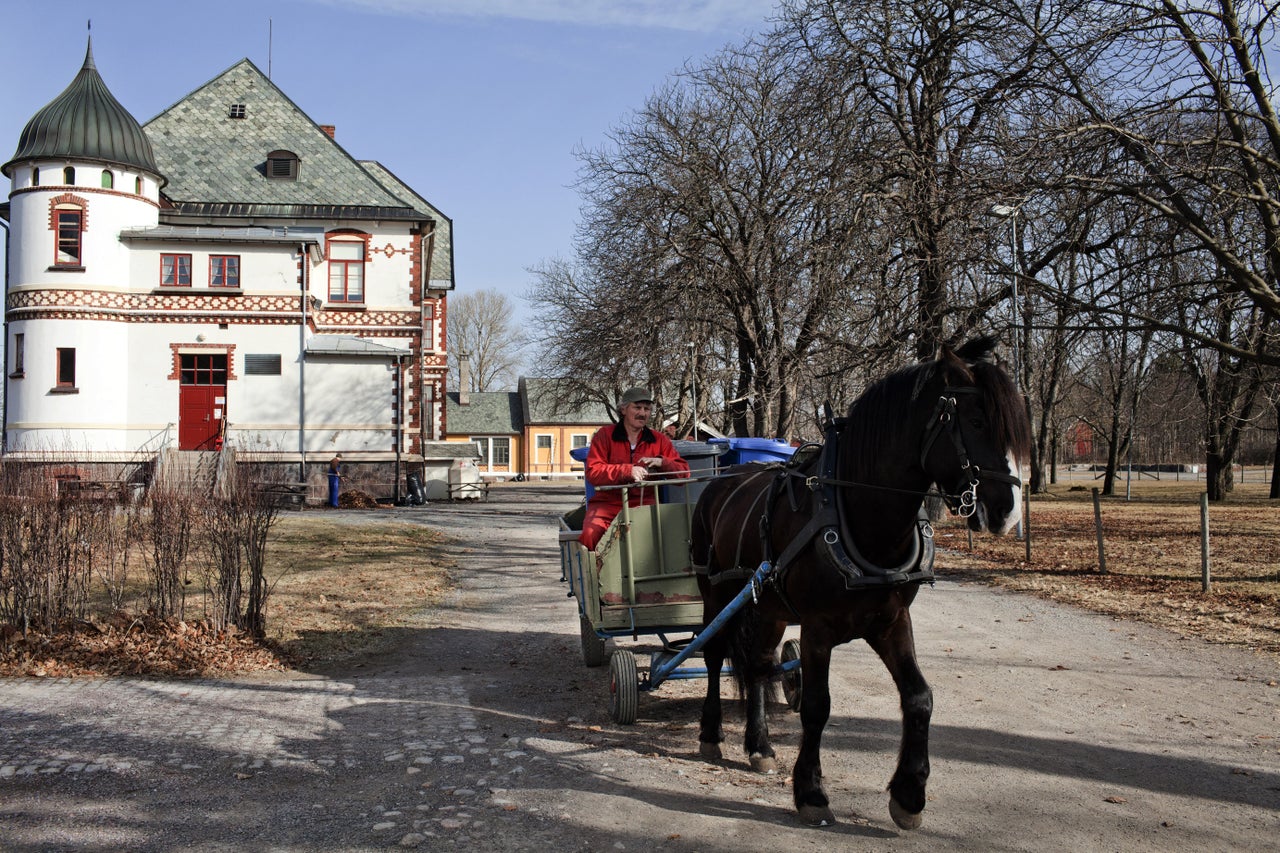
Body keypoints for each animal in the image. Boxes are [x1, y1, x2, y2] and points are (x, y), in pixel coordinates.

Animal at [691, 335, 1029, 824]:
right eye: (978, 420)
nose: (1009, 513)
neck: (858, 510)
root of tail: (721, 482)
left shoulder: (891, 621)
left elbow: (920, 697)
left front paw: (909, 793)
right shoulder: (817, 628)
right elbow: (817, 707)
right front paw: (811, 791)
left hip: (768, 607)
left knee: (758, 664)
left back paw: (760, 746)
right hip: (717, 593)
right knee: (715, 654)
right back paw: (711, 734)